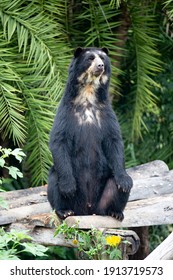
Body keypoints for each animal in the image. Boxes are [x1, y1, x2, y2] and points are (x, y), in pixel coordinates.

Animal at [47, 47, 132, 221]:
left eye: (103, 58)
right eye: (90, 58)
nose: (100, 66)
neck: (88, 94)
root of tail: (87, 209)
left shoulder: (106, 112)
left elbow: (114, 141)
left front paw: (124, 182)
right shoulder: (66, 112)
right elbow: (59, 140)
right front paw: (68, 187)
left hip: (103, 195)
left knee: (115, 183)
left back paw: (115, 211)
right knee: (54, 178)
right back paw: (65, 210)